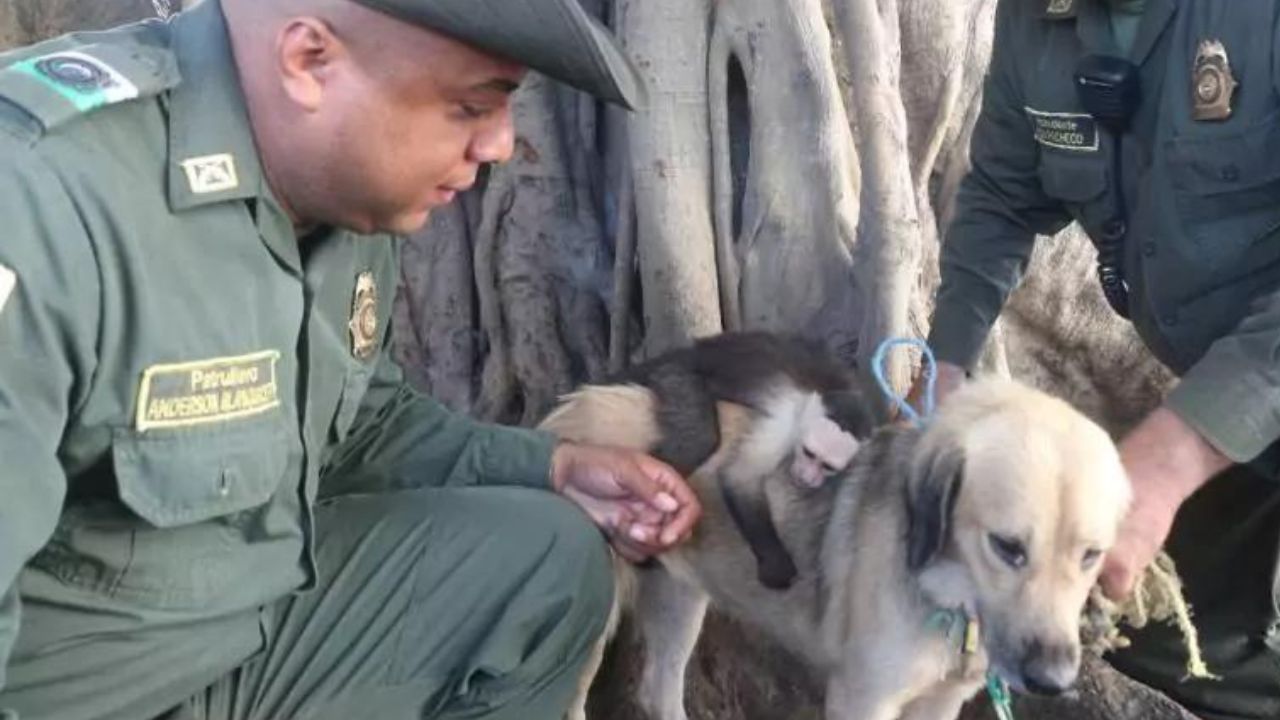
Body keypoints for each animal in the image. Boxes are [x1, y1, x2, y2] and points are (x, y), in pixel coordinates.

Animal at [550, 371, 1131, 712]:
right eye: (1007, 546)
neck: (947, 601)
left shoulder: (941, 704)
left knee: (658, 688)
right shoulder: (863, 699)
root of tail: (578, 404)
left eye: (1091, 556)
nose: (1054, 681)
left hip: (681, 595)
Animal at [606, 330, 870, 589]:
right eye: (809, 453)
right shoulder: (785, 421)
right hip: (674, 375)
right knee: (699, 439)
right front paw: (775, 563)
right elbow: (739, 478)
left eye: (827, 467)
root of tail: (689, 351)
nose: (807, 478)